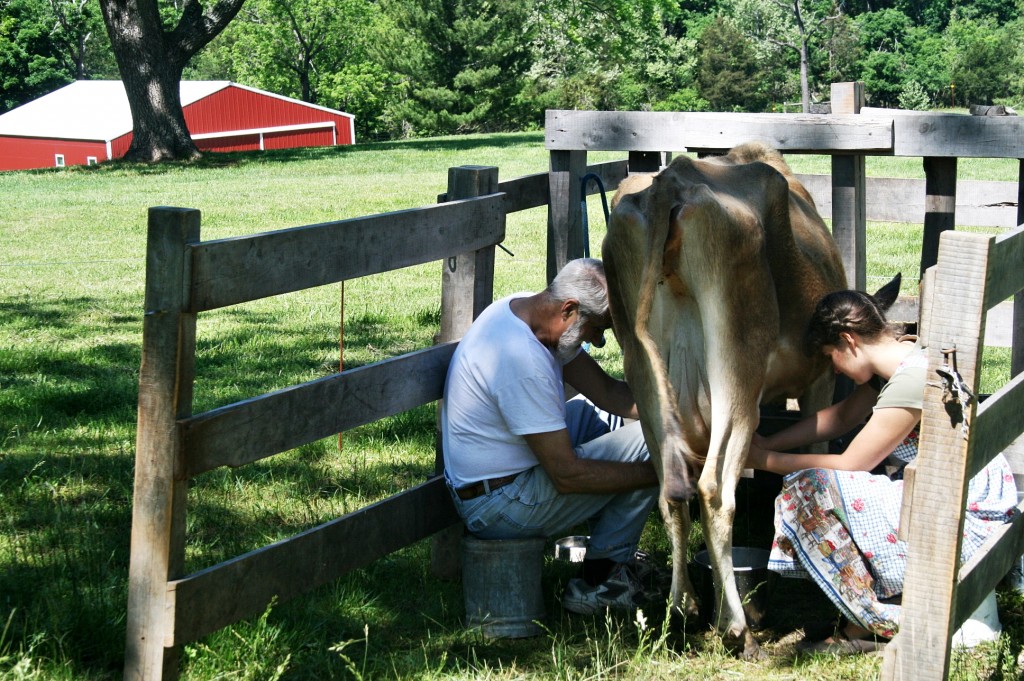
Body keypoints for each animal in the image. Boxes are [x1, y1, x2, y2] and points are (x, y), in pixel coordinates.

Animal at [598, 142, 847, 659]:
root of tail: (670, 182)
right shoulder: (822, 379)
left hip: (644, 373)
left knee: (671, 490)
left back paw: (682, 611)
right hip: (737, 368)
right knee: (714, 489)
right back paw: (736, 628)